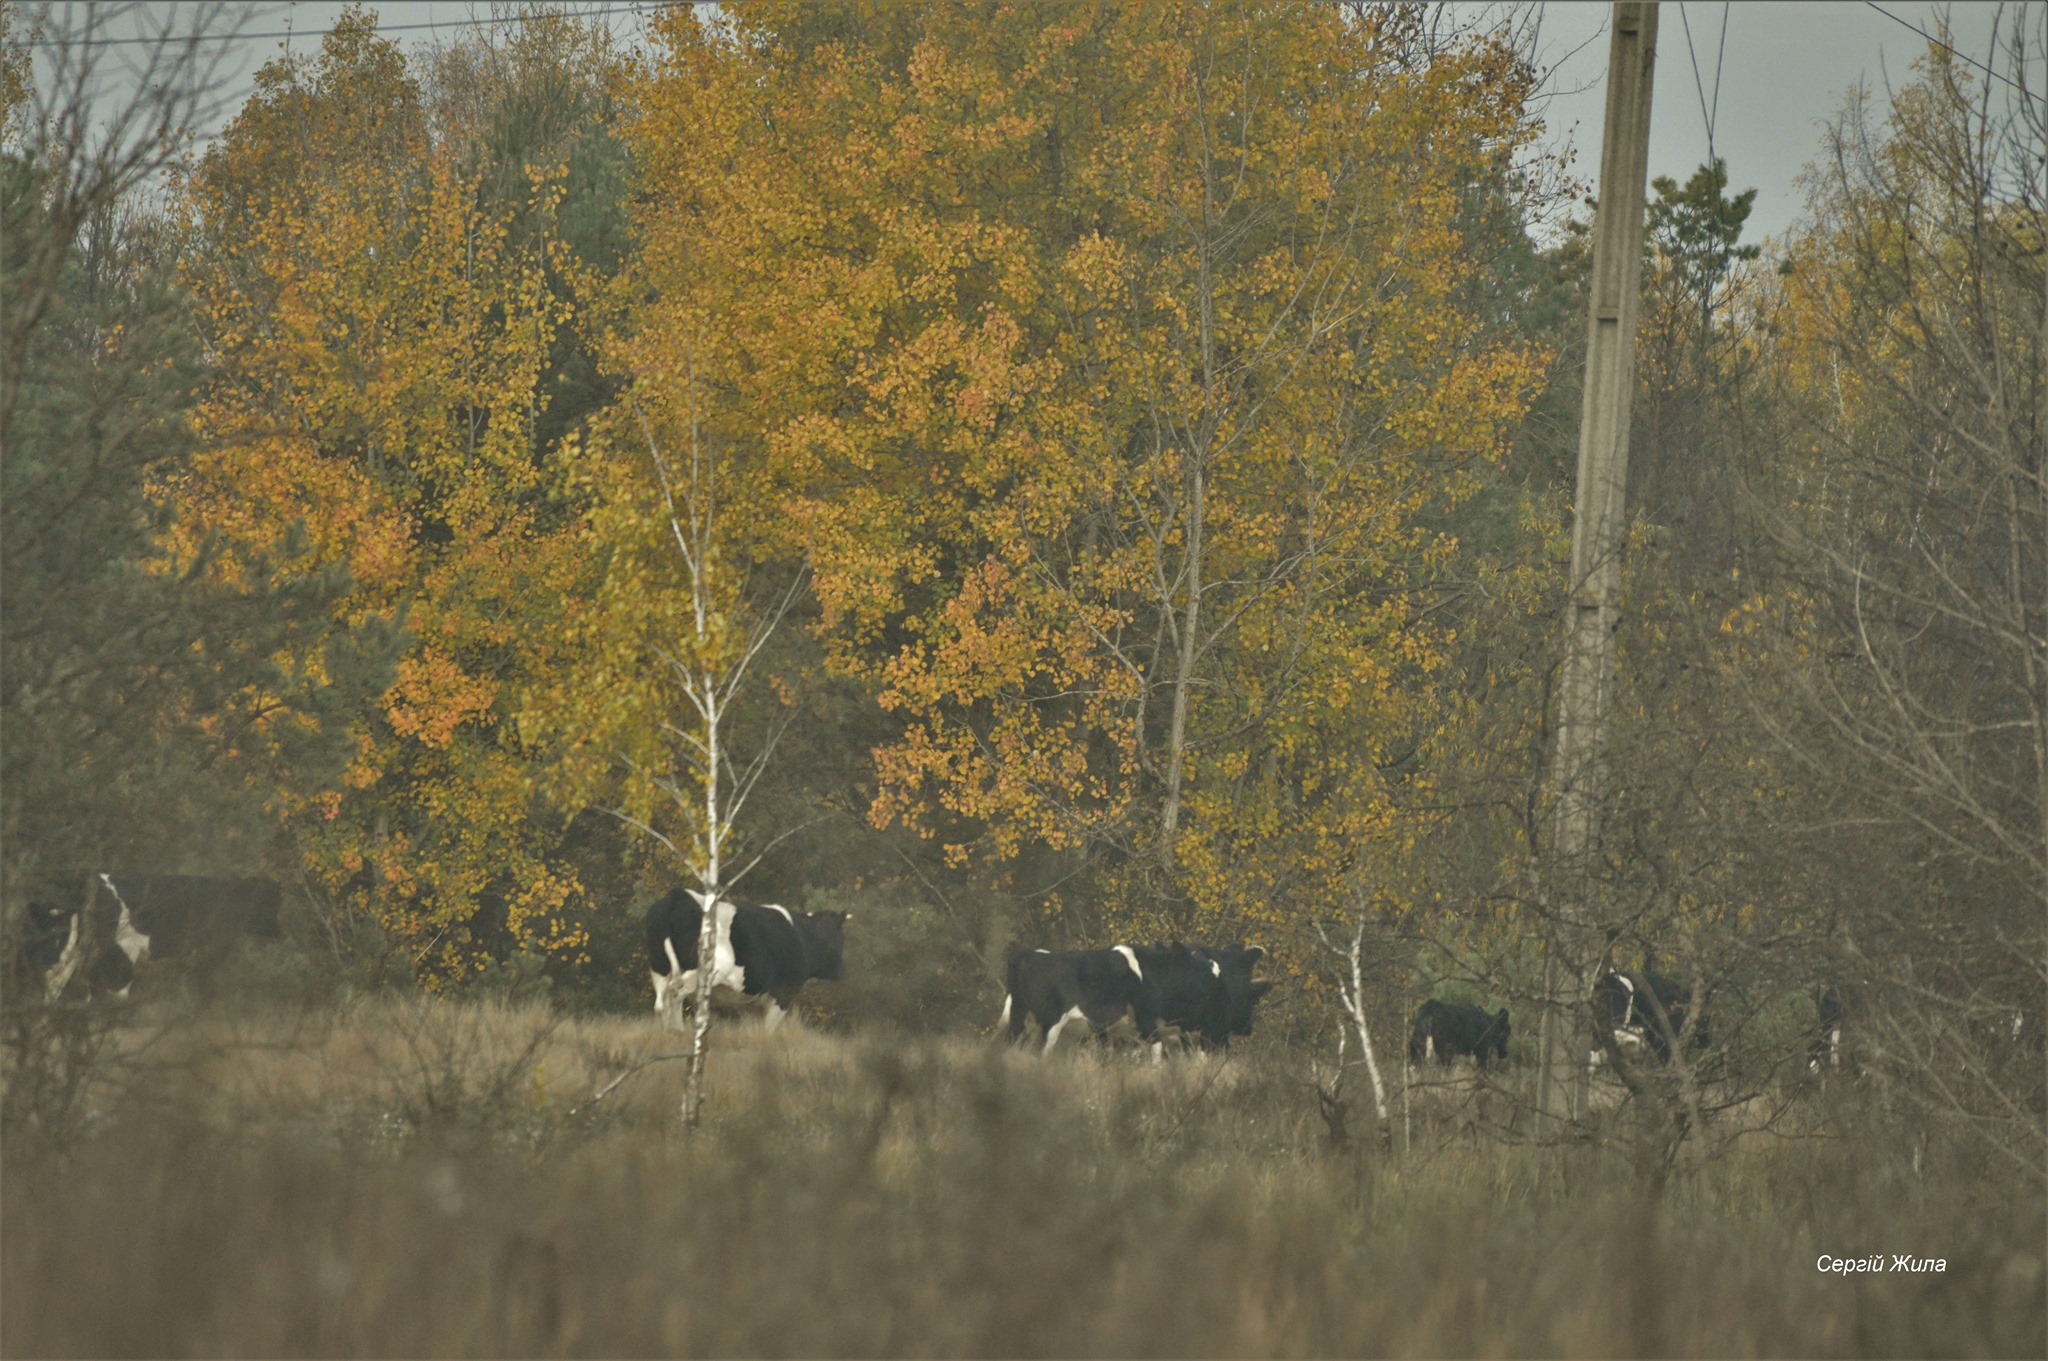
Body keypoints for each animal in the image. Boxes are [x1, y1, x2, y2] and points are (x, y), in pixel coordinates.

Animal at [651, 888, 851, 1023]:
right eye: (841, 938)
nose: (841, 970)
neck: (802, 937)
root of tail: (679, 894)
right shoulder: (783, 993)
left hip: (659, 966)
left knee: (661, 1003)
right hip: (703, 970)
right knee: (675, 994)